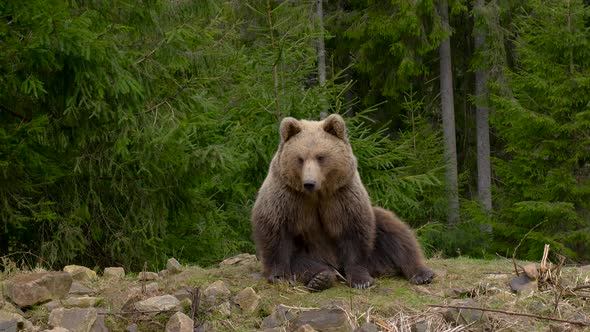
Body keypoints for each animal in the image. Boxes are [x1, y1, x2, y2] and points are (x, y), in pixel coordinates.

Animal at [250, 113, 434, 290]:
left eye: (320, 157)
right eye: (300, 158)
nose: (309, 183)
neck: (317, 194)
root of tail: (335, 265)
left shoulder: (342, 196)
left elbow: (354, 231)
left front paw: (361, 280)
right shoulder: (287, 196)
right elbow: (276, 231)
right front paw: (280, 276)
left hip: (376, 243)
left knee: (395, 233)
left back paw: (422, 273)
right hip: (308, 253)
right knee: (302, 263)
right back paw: (320, 278)